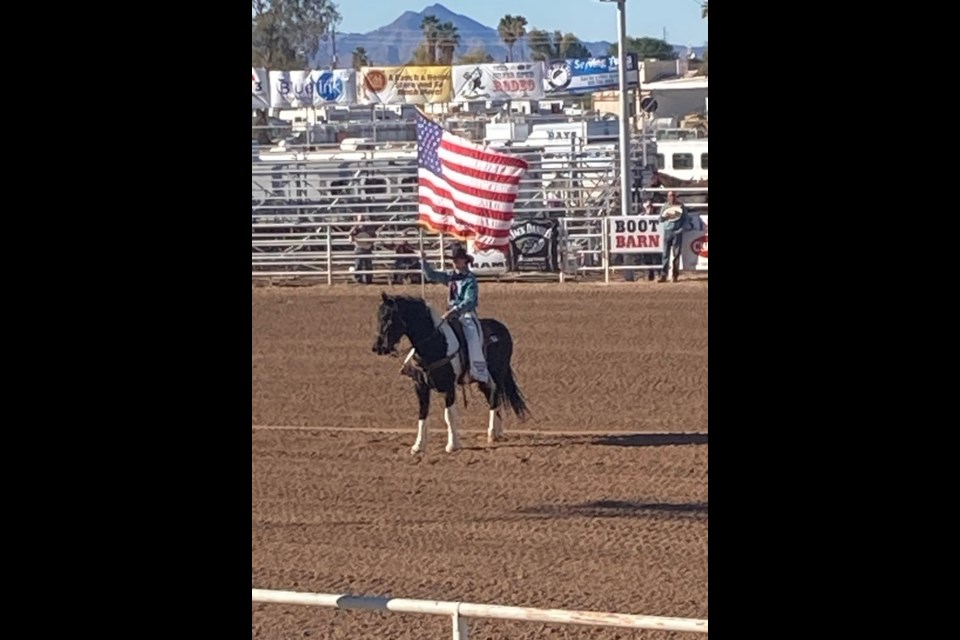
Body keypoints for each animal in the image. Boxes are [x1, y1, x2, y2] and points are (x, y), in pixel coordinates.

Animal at [372, 292, 528, 452]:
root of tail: (502, 328)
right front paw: (418, 446)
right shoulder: (420, 386)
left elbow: (449, 415)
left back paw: (492, 433)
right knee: (493, 396)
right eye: (379, 317)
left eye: (389, 319)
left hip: (497, 374)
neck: (435, 344)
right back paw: (495, 433)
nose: (378, 347)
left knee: (496, 396)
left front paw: (452, 445)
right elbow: (422, 413)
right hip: (484, 380)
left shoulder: (449, 386)